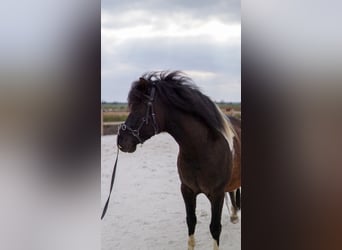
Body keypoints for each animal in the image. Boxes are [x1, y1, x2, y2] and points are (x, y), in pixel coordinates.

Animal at [117, 71, 240, 250]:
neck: (201, 149)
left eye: (140, 107)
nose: (120, 140)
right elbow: (191, 222)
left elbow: (215, 228)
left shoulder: (217, 195)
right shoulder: (187, 190)